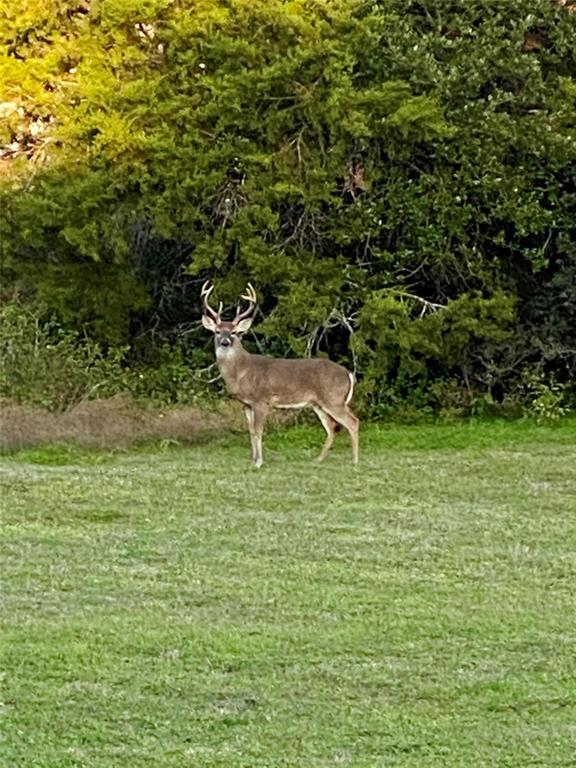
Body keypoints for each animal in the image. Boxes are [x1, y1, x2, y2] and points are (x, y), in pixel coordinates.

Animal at [200, 282, 358, 468]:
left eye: (234, 332)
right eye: (217, 331)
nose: (225, 342)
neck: (241, 372)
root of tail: (348, 373)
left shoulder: (261, 400)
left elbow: (258, 431)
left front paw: (259, 462)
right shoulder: (246, 404)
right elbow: (251, 431)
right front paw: (253, 460)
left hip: (334, 399)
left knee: (353, 422)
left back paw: (355, 460)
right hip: (319, 403)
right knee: (332, 428)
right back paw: (318, 459)